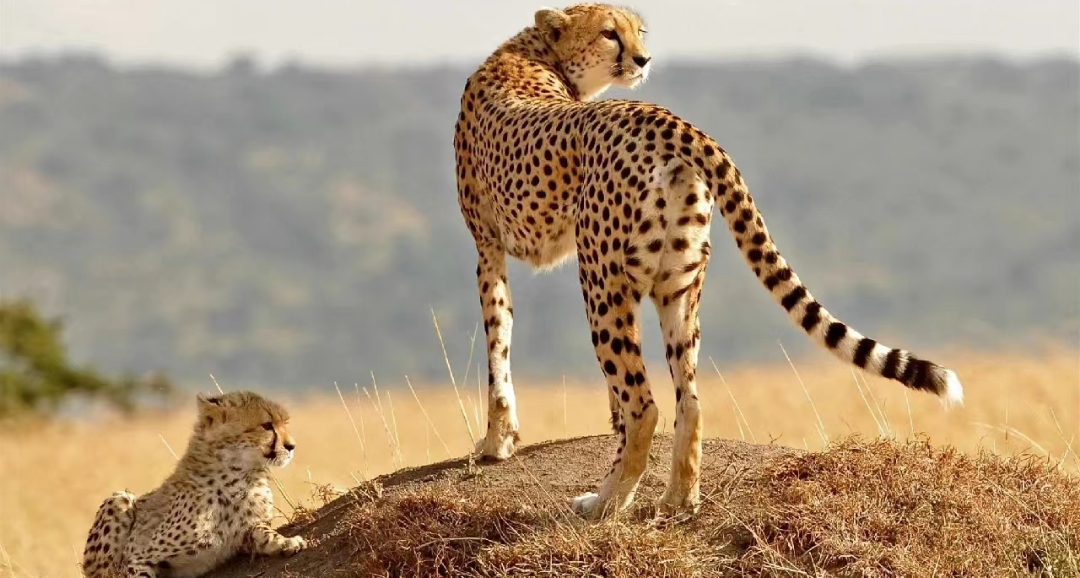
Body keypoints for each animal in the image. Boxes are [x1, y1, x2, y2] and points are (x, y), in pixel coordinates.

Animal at [81, 391, 307, 578]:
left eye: (285, 423)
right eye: (267, 425)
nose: (292, 446)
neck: (241, 476)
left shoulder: (244, 534)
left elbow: (262, 531)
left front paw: (285, 541)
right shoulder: (137, 557)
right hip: (119, 499)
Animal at [453, 2, 965, 519]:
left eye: (638, 31)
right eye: (609, 33)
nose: (643, 59)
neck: (535, 53)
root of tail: (662, 117)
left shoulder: (487, 247)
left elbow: (498, 340)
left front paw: (496, 441)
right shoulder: (494, 246)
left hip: (601, 280)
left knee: (645, 405)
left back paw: (606, 502)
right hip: (678, 284)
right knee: (690, 400)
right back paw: (679, 497)